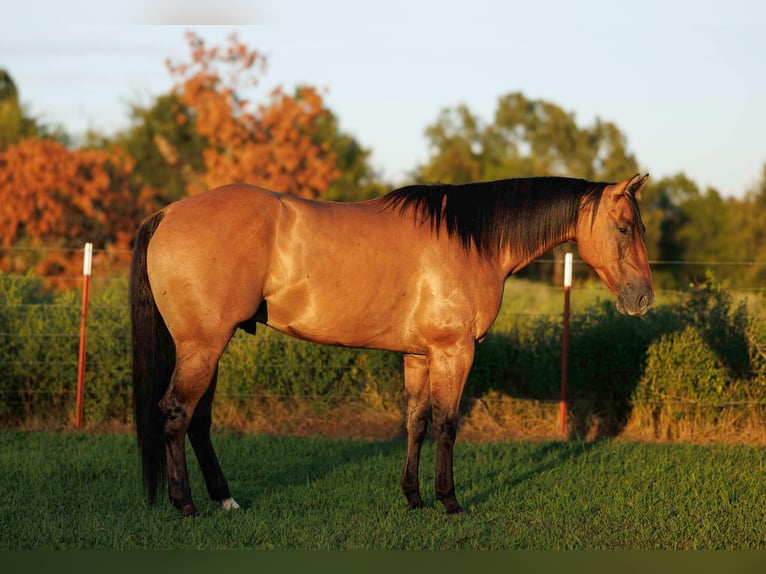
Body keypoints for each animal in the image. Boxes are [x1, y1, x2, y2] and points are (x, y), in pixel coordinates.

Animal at [130, 173, 653, 517]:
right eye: (625, 228)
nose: (643, 298)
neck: (472, 240)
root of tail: (167, 214)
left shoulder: (419, 357)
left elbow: (416, 423)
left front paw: (414, 497)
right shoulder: (454, 352)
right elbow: (446, 425)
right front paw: (449, 502)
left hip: (208, 347)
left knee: (198, 421)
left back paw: (226, 500)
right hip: (202, 346)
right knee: (176, 413)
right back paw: (186, 505)